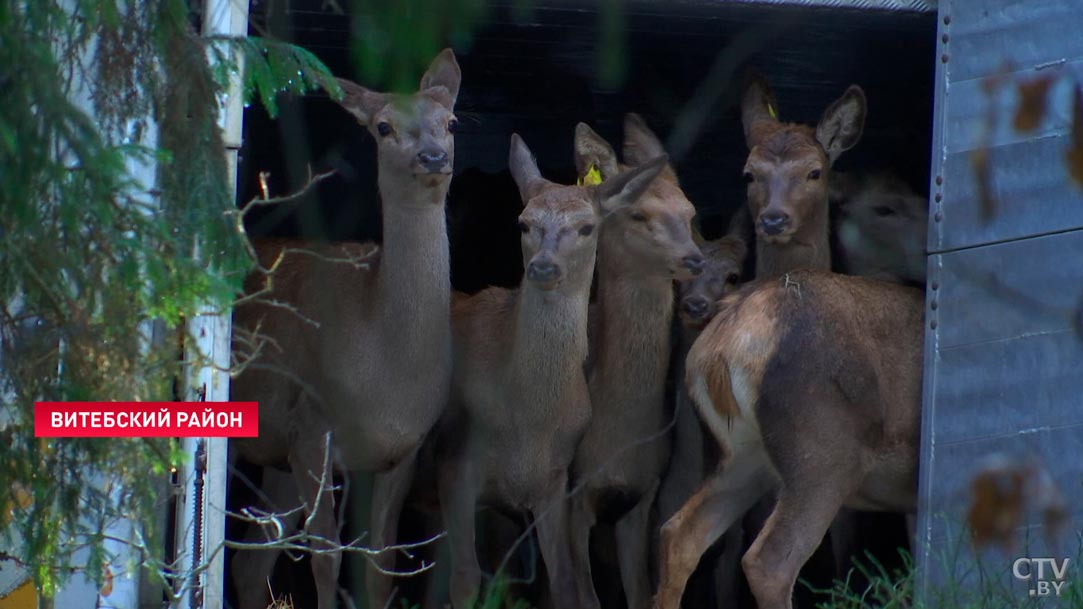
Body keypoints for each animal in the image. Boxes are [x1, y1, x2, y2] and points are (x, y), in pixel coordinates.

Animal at [230, 49, 459, 606]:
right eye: (383, 127)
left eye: (450, 122)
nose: (432, 157)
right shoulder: (313, 426)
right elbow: (327, 559)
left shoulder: (405, 449)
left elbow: (380, 565)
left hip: (276, 454)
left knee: (251, 560)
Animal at [433, 132, 667, 606]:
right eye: (524, 223)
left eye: (586, 227)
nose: (543, 266)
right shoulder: (456, 467)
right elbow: (465, 578)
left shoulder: (555, 481)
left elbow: (562, 581)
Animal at [567, 114, 710, 609]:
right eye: (639, 214)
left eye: (690, 212)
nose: (694, 259)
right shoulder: (571, 494)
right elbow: (582, 597)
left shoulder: (642, 496)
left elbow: (639, 591)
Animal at [645, 75, 927, 606]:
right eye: (748, 174)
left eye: (815, 171)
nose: (774, 219)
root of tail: (722, 348)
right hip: (822, 447)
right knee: (769, 560)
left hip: (743, 455)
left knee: (678, 532)